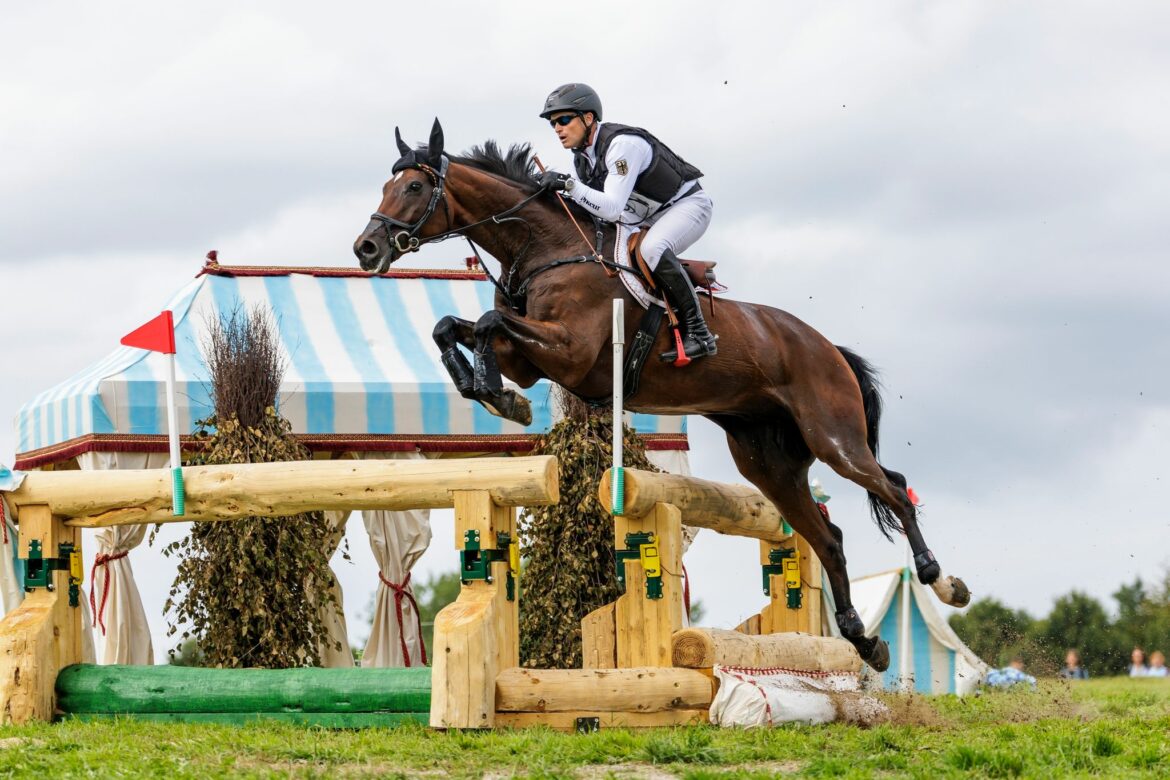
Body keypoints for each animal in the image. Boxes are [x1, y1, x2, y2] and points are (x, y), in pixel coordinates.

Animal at [353, 120, 968, 673]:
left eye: (414, 186)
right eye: (386, 185)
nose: (366, 248)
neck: (548, 247)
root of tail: (828, 347)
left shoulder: (569, 351)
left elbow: (483, 321)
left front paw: (492, 392)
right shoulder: (532, 360)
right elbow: (451, 328)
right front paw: (495, 395)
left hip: (832, 436)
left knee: (893, 488)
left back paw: (942, 581)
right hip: (769, 462)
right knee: (829, 538)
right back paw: (864, 640)